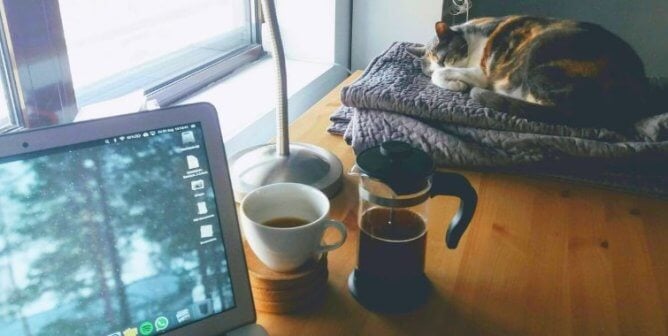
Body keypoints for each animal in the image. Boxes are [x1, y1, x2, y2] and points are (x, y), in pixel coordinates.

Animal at [410, 16, 648, 131]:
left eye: (443, 59)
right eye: (430, 66)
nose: (439, 65)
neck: (471, 37)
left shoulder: (481, 73)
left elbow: (444, 76)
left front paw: (457, 84)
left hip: (539, 52)